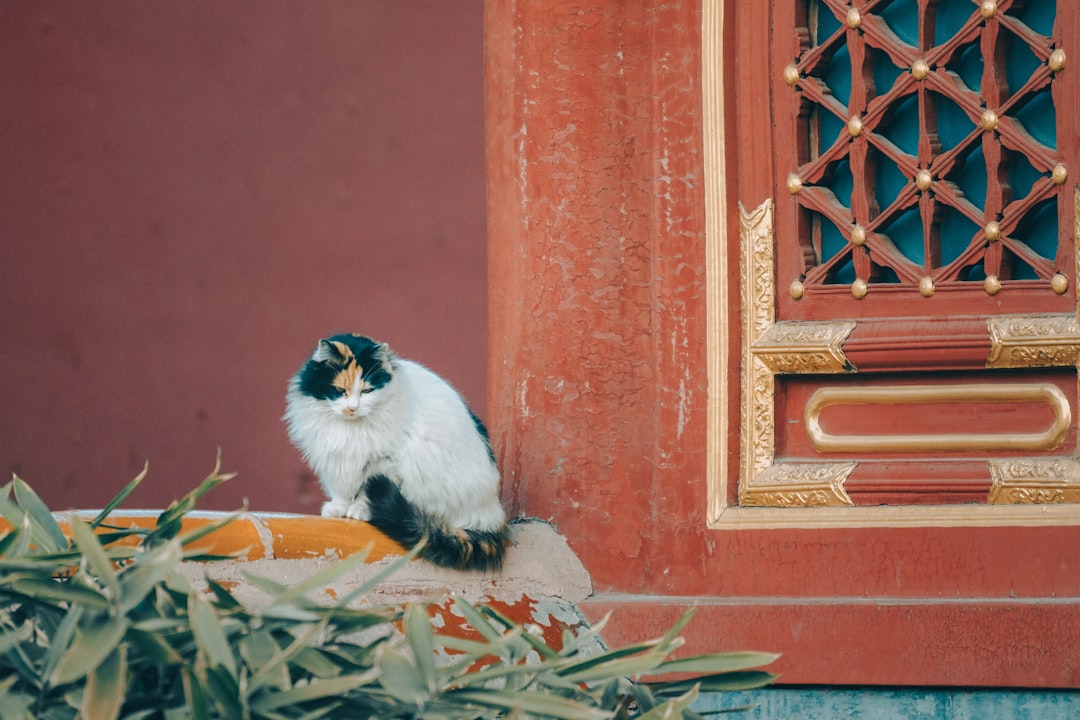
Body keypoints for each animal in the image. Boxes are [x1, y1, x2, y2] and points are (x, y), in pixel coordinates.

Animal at [282, 334, 509, 574]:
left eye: (366, 391)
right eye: (340, 390)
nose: (352, 408)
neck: (350, 429)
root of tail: (492, 518)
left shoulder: (384, 463)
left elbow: (364, 492)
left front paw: (359, 511)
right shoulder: (336, 463)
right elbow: (342, 491)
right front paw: (337, 509)